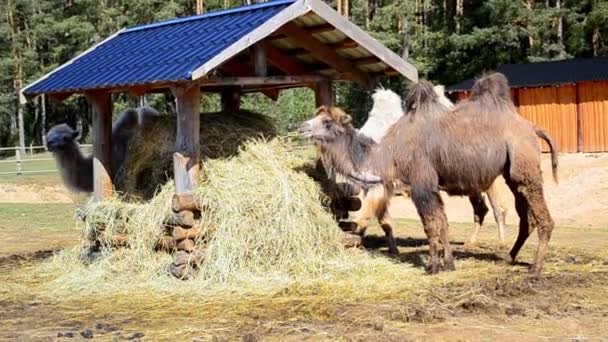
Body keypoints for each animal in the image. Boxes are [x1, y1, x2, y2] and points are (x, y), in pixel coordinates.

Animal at [296, 73, 560, 276]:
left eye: (327, 122)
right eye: (316, 116)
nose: (302, 127)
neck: (390, 153)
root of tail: (532, 127)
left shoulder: (421, 184)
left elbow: (431, 226)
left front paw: (432, 266)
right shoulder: (430, 186)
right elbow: (442, 223)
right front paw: (449, 264)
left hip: (524, 165)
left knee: (540, 217)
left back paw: (535, 268)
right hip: (511, 174)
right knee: (525, 217)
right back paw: (509, 257)